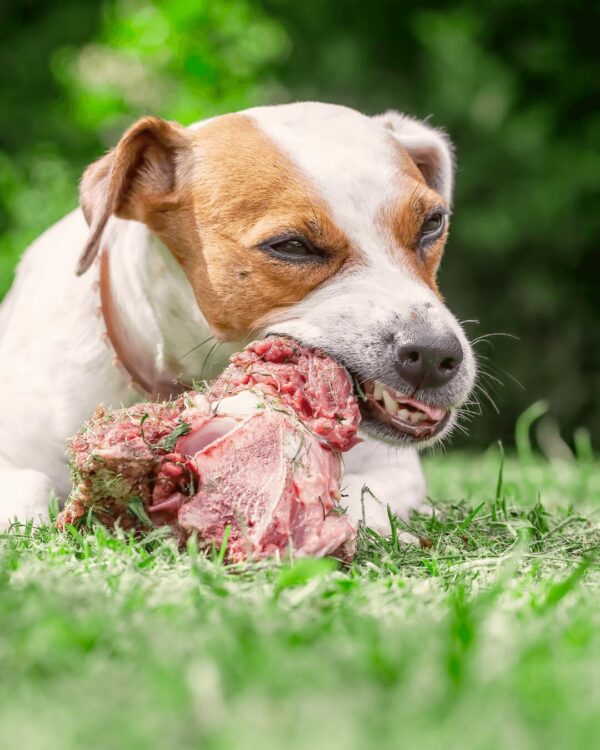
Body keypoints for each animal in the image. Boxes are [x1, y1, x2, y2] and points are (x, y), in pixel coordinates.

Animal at [0, 103, 476, 536]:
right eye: (292, 246)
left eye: (433, 223)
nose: (434, 355)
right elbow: (30, 481)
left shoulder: (394, 472)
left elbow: (360, 495)